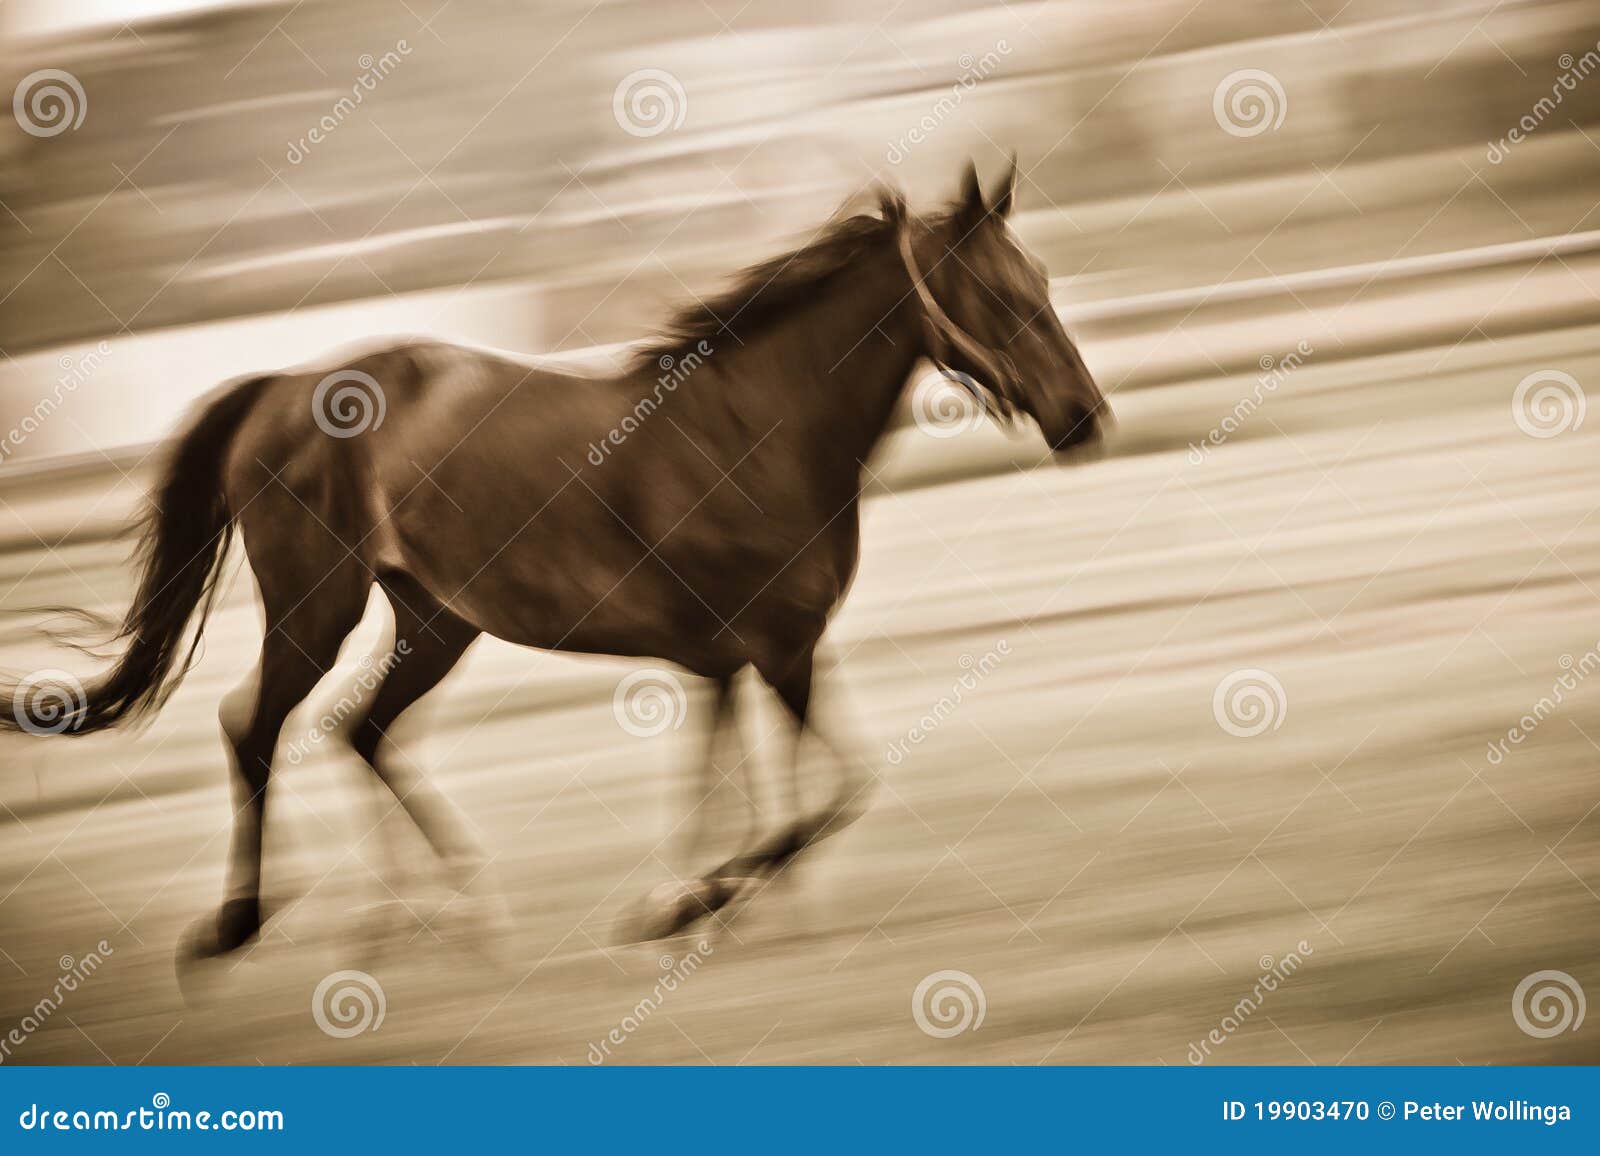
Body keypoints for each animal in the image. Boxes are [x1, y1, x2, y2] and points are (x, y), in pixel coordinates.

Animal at [0, 160, 1107, 973]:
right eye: (1000, 293)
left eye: (1045, 283)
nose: (1085, 417)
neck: (757, 430)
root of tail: (276, 385)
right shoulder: (775, 650)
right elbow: (824, 799)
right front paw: (685, 904)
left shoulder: (740, 657)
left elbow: (752, 786)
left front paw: (721, 902)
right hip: (317, 607)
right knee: (257, 728)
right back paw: (243, 924)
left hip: (436, 621)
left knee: (361, 731)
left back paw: (437, 914)